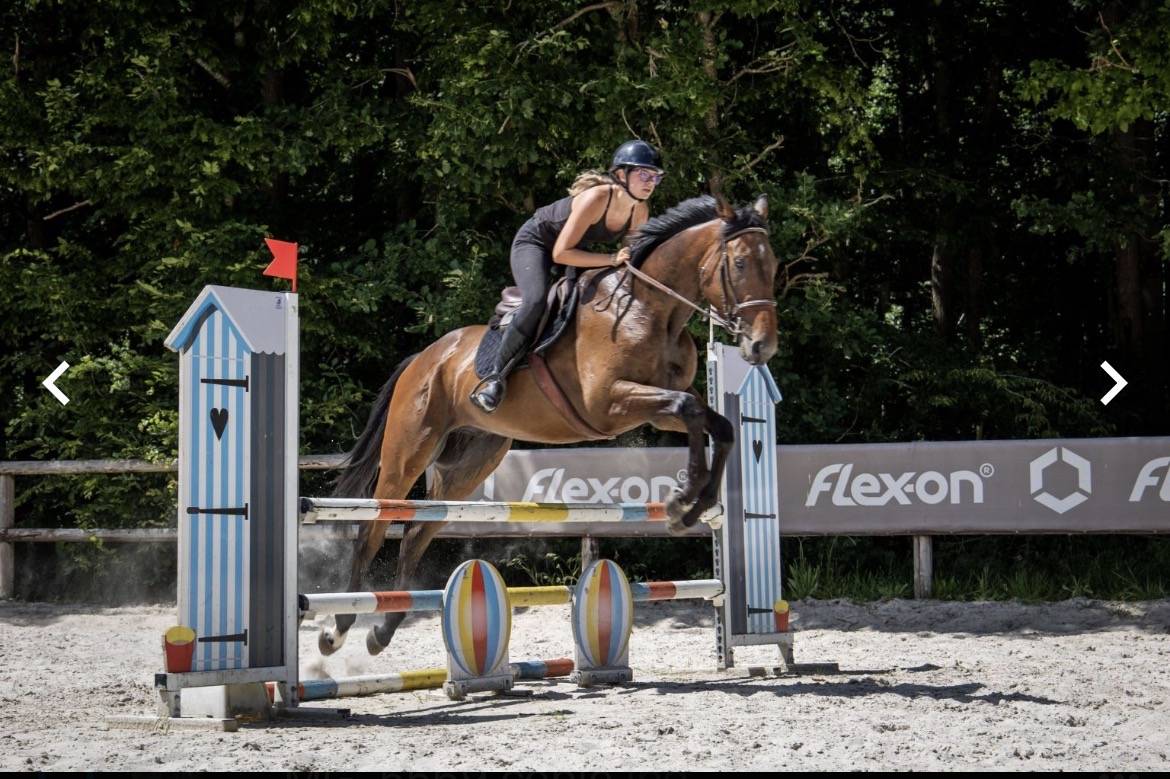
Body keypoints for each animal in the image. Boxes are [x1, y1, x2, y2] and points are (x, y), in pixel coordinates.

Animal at [320, 193, 780, 657]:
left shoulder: (654, 408)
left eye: (773, 264)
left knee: (416, 533)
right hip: (408, 451)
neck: (650, 308)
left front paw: (691, 507)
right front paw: (681, 502)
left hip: (468, 466)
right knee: (372, 528)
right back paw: (338, 628)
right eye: (740, 263)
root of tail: (425, 357)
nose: (762, 346)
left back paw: (382, 632)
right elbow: (690, 408)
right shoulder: (610, 403)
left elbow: (715, 424)